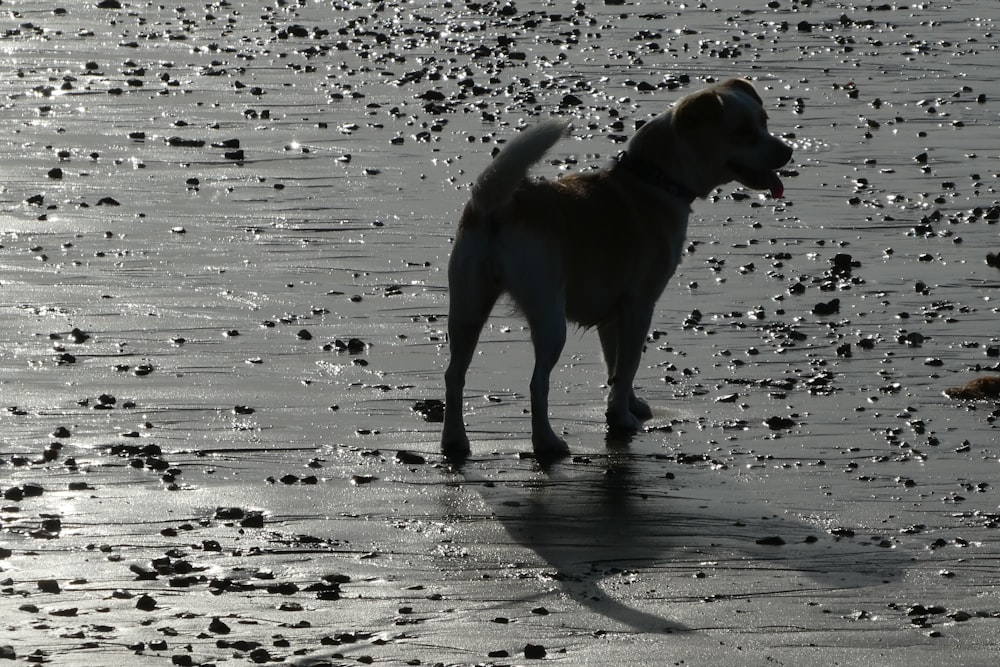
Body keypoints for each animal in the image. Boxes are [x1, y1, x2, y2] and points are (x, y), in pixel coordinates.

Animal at [442, 78, 792, 462]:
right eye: (743, 132)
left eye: (764, 121)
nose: (787, 151)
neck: (653, 179)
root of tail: (499, 205)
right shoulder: (640, 305)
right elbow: (628, 365)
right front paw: (622, 418)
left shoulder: (612, 316)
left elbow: (614, 365)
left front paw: (627, 404)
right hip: (548, 317)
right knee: (537, 383)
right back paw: (546, 442)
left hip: (467, 308)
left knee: (454, 375)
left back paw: (454, 441)